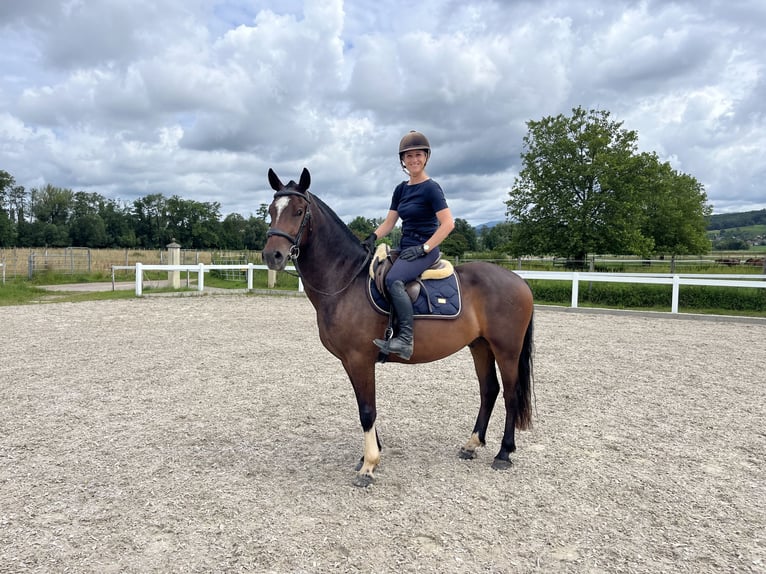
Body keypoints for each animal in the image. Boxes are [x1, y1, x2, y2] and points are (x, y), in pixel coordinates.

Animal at [262, 169, 536, 488]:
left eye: (299, 211)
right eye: (271, 211)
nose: (273, 256)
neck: (345, 280)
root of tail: (518, 280)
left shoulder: (360, 359)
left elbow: (367, 410)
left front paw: (369, 466)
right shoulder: (350, 361)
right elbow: (364, 405)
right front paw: (369, 455)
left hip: (506, 349)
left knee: (510, 394)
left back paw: (504, 453)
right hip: (480, 345)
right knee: (489, 389)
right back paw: (471, 444)